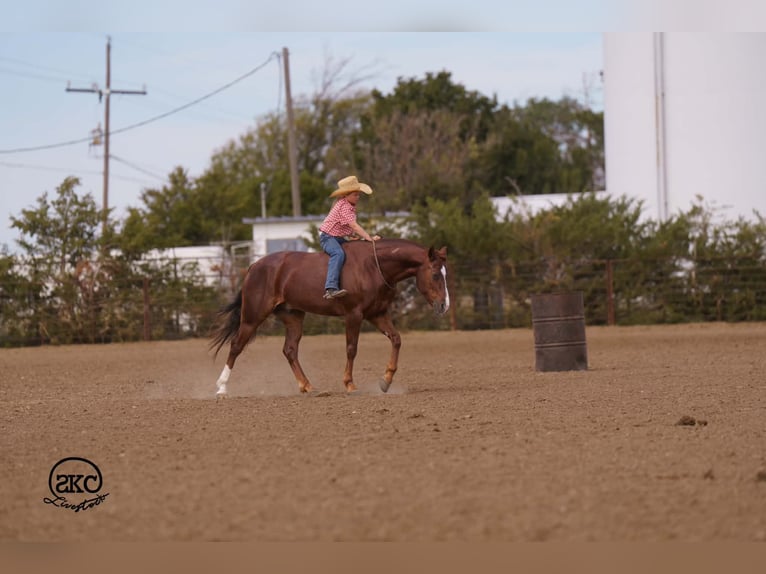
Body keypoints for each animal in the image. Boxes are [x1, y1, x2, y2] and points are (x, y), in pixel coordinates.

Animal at [209, 238, 449, 396]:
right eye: (435, 274)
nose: (444, 305)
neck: (374, 265)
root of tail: (253, 267)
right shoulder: (354, 314)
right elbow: (351, 349)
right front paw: (349, 383)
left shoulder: (377, 314)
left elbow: (396, 339)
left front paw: (386, 381)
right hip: (253, 316)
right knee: (236, 346)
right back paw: (221, 387)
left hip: (293, 316)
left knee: (290, 350)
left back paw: (307, 386)